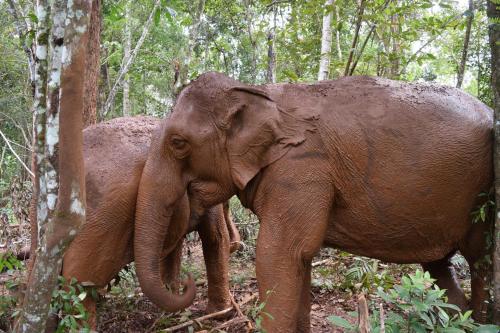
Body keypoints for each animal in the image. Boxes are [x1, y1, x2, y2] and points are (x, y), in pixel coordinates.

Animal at [135, 71, 494, 330]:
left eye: (178, 143)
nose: (184, 282)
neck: (259, 92)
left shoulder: (302, 169)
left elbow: (277, 254)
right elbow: (300, 259)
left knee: (480, 260)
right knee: (440, 267)